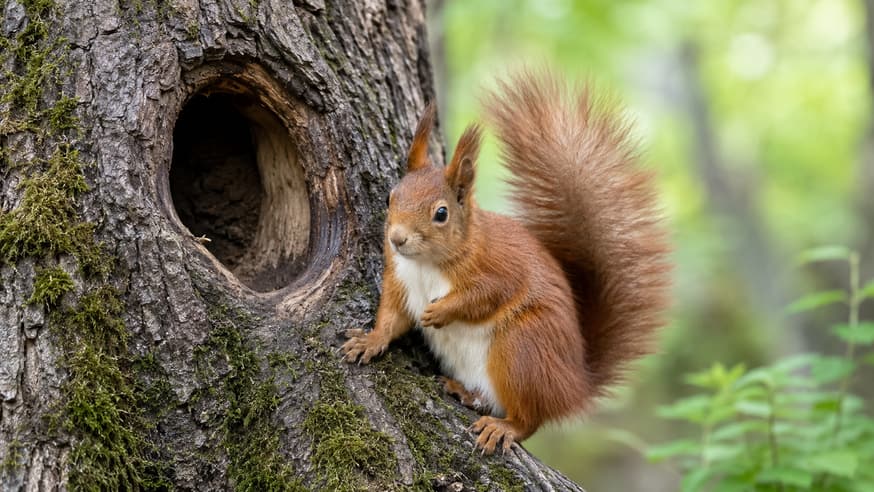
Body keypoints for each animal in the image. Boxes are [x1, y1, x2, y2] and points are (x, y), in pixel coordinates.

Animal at [341, 71, 671, 454]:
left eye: (441, 213)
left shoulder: (500, 268)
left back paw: (504, 427)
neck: (427, 263)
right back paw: (465, 392)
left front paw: (440, 311)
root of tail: (573, 387)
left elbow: (486, 295)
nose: (396, 238)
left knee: (530, 419)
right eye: (390, 197)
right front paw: (370, 341)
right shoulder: (400, 278)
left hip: (520, 349)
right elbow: (392, 316)